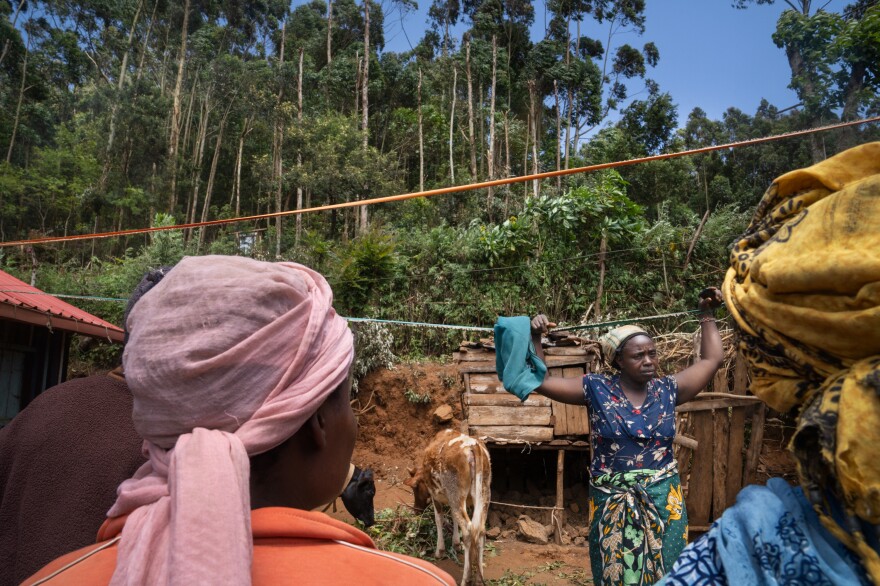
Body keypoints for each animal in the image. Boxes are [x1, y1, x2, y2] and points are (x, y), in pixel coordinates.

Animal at [404, 424, 488, 584]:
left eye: (415, 488)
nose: (416, 510)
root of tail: (473, 446)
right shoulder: (451, 498)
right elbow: (454, 519)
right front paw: (456, 543)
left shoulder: (436, 496)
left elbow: (439, 519)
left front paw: (440, 550)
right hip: (483, 494)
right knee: (479, 529)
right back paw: (479, 577)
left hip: (458, 494)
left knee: (468, 530)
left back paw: (466, 578)